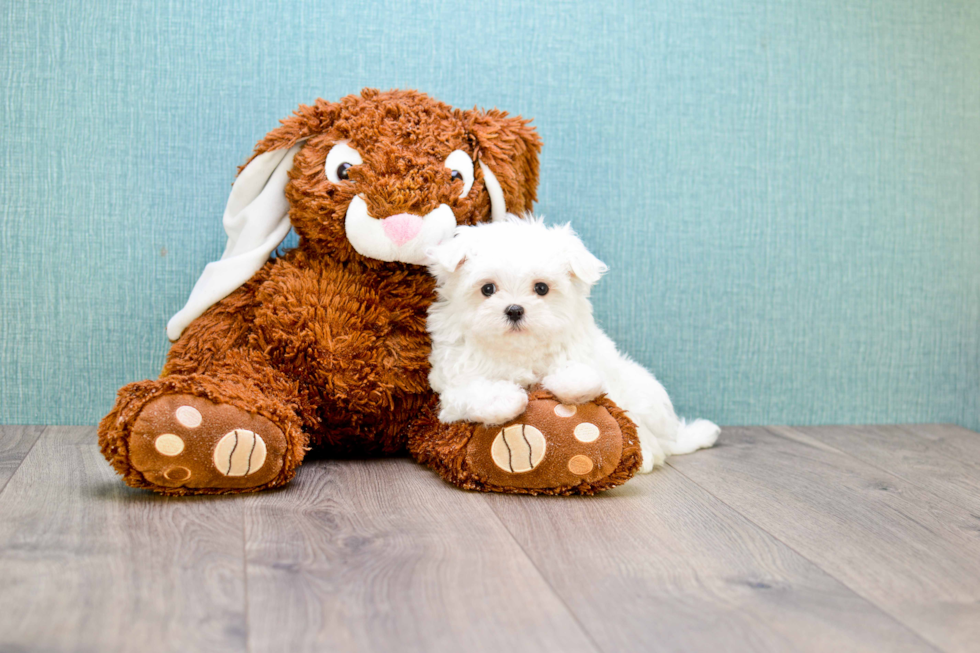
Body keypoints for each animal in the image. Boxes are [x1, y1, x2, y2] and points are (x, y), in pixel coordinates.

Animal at [428, 216, 720, 472]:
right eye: (487, 289)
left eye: (542, 288)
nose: (514, 309)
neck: (520, 351)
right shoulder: (453, 383)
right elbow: (474, 391)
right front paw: (507, 398)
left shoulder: (588, 357)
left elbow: (584, 376)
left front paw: (564, 382)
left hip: (645, 393)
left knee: (649, 435)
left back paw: (646, 456)